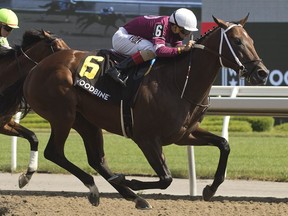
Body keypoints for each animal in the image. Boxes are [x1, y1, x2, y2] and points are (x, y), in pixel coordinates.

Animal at [15, 14, 268, 208]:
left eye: (251, 40)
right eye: (237, 41)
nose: (262, 73)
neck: (178, 82)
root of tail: (38, 67)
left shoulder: (184, 134)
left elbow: (224, 145)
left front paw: (210, 189)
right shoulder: (146, 138)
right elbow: (166, 178)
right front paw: (131, 181)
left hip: (86, 120)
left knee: (97, 159)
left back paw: (131, 196)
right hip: (62, 115)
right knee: (54, 153)